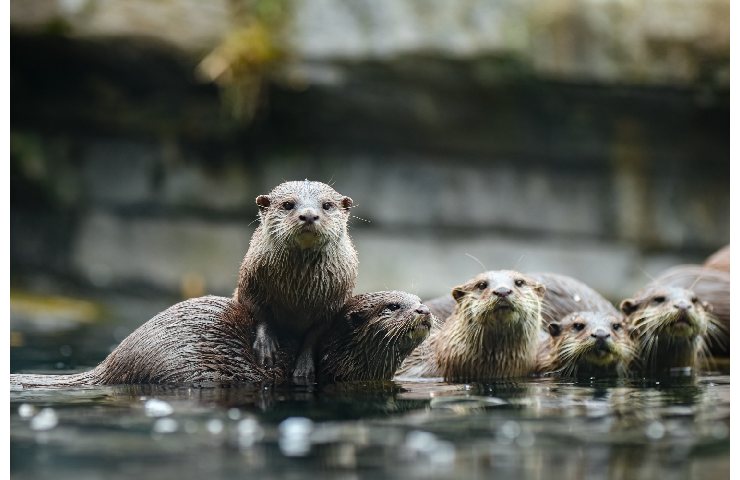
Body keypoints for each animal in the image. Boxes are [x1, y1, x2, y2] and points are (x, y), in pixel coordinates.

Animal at [233, 180, 356, 378]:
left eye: (327, 205)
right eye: (288, 204)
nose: (309, 215)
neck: (297, 295)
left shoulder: (334, 304)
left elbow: (314, 334)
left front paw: (304, 367)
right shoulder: (249, 283)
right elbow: (259, 312)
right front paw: (266, 347)